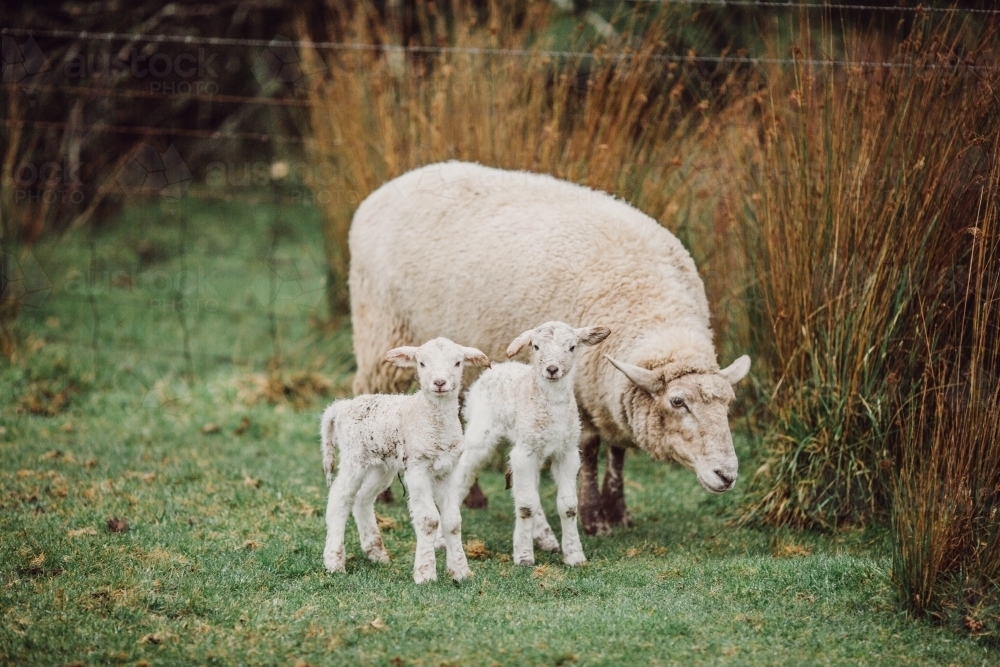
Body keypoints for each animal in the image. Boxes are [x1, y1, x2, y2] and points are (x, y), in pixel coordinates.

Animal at [320, 337, 490, 584]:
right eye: (422, 363)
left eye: (458, 363)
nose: (440, 382)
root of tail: (341, 406)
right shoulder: (417, 467)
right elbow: (429, 520)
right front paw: (425, 574)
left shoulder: (449, 470)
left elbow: (453, 522)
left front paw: (461, 572)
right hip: (354, 457)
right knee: (339, 499)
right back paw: (334, 562)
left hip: (381, 466)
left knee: (362, 499)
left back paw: (376, 553)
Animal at [348, 161, 751, 537]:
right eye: (677, 402)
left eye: (728, 403)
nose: (727, 474)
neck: (651, 308)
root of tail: (386, 189)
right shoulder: (584, 389)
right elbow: (589, 450)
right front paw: (593, 518)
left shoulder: (608, 390)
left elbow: (617, 452)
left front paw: (618, 511)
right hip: (380, 331)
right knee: (367, 391)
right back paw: (386, 491)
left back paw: (473, 496)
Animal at [448, 321, 610, 567]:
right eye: (536, 346)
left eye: (572, 347)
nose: (552, 369)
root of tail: (498, 367)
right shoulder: (525, 453)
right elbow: (526, 506)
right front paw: (524, 556)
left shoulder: (567, 452)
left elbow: (568, 507)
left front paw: (574, 555)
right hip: (481, 432)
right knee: (463, 477)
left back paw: (546, 537)